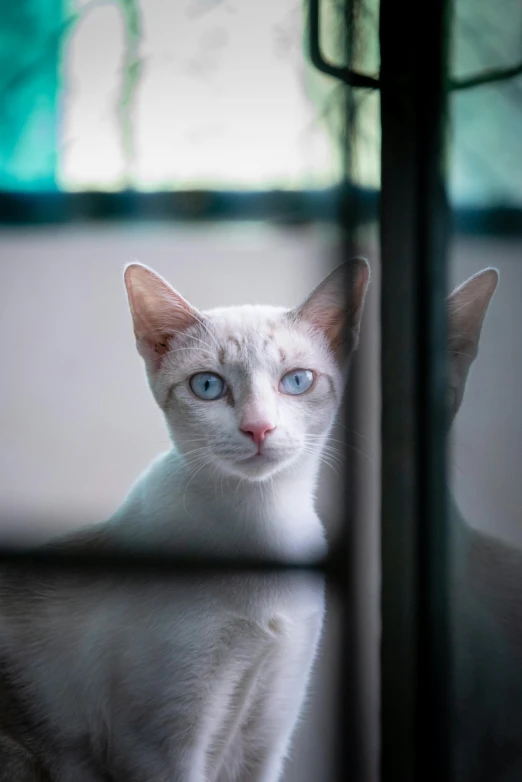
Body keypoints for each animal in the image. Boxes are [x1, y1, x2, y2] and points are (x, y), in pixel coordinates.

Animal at [0, 262, 370, 782]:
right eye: (208, 386)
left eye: (297, 381)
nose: (258, 428)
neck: (260, 534)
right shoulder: (160, 749)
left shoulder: (266, 738)